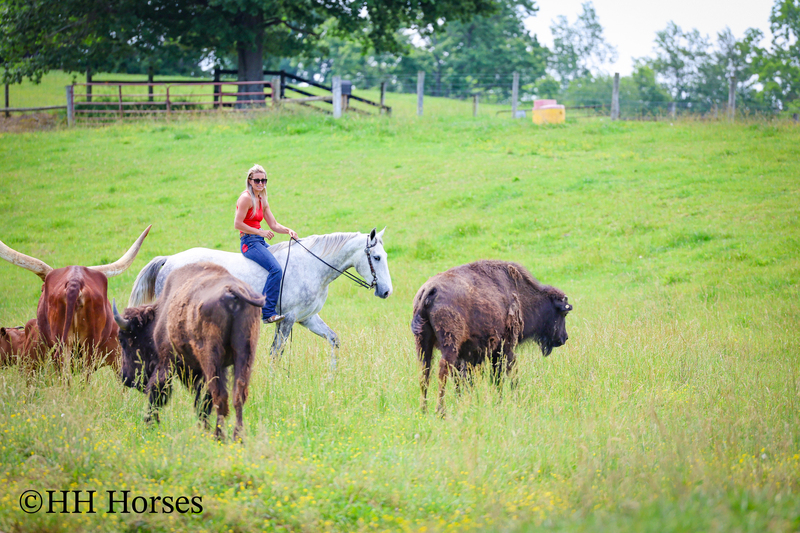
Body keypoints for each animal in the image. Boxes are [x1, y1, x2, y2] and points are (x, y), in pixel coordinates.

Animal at [128, 228, 392, 369]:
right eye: (377, 257)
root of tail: (169, 260)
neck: (312, 265)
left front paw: (332, 376)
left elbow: (333, 339)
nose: (387, 292)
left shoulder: (307, 318)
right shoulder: (287, 320)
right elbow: (276, 353)